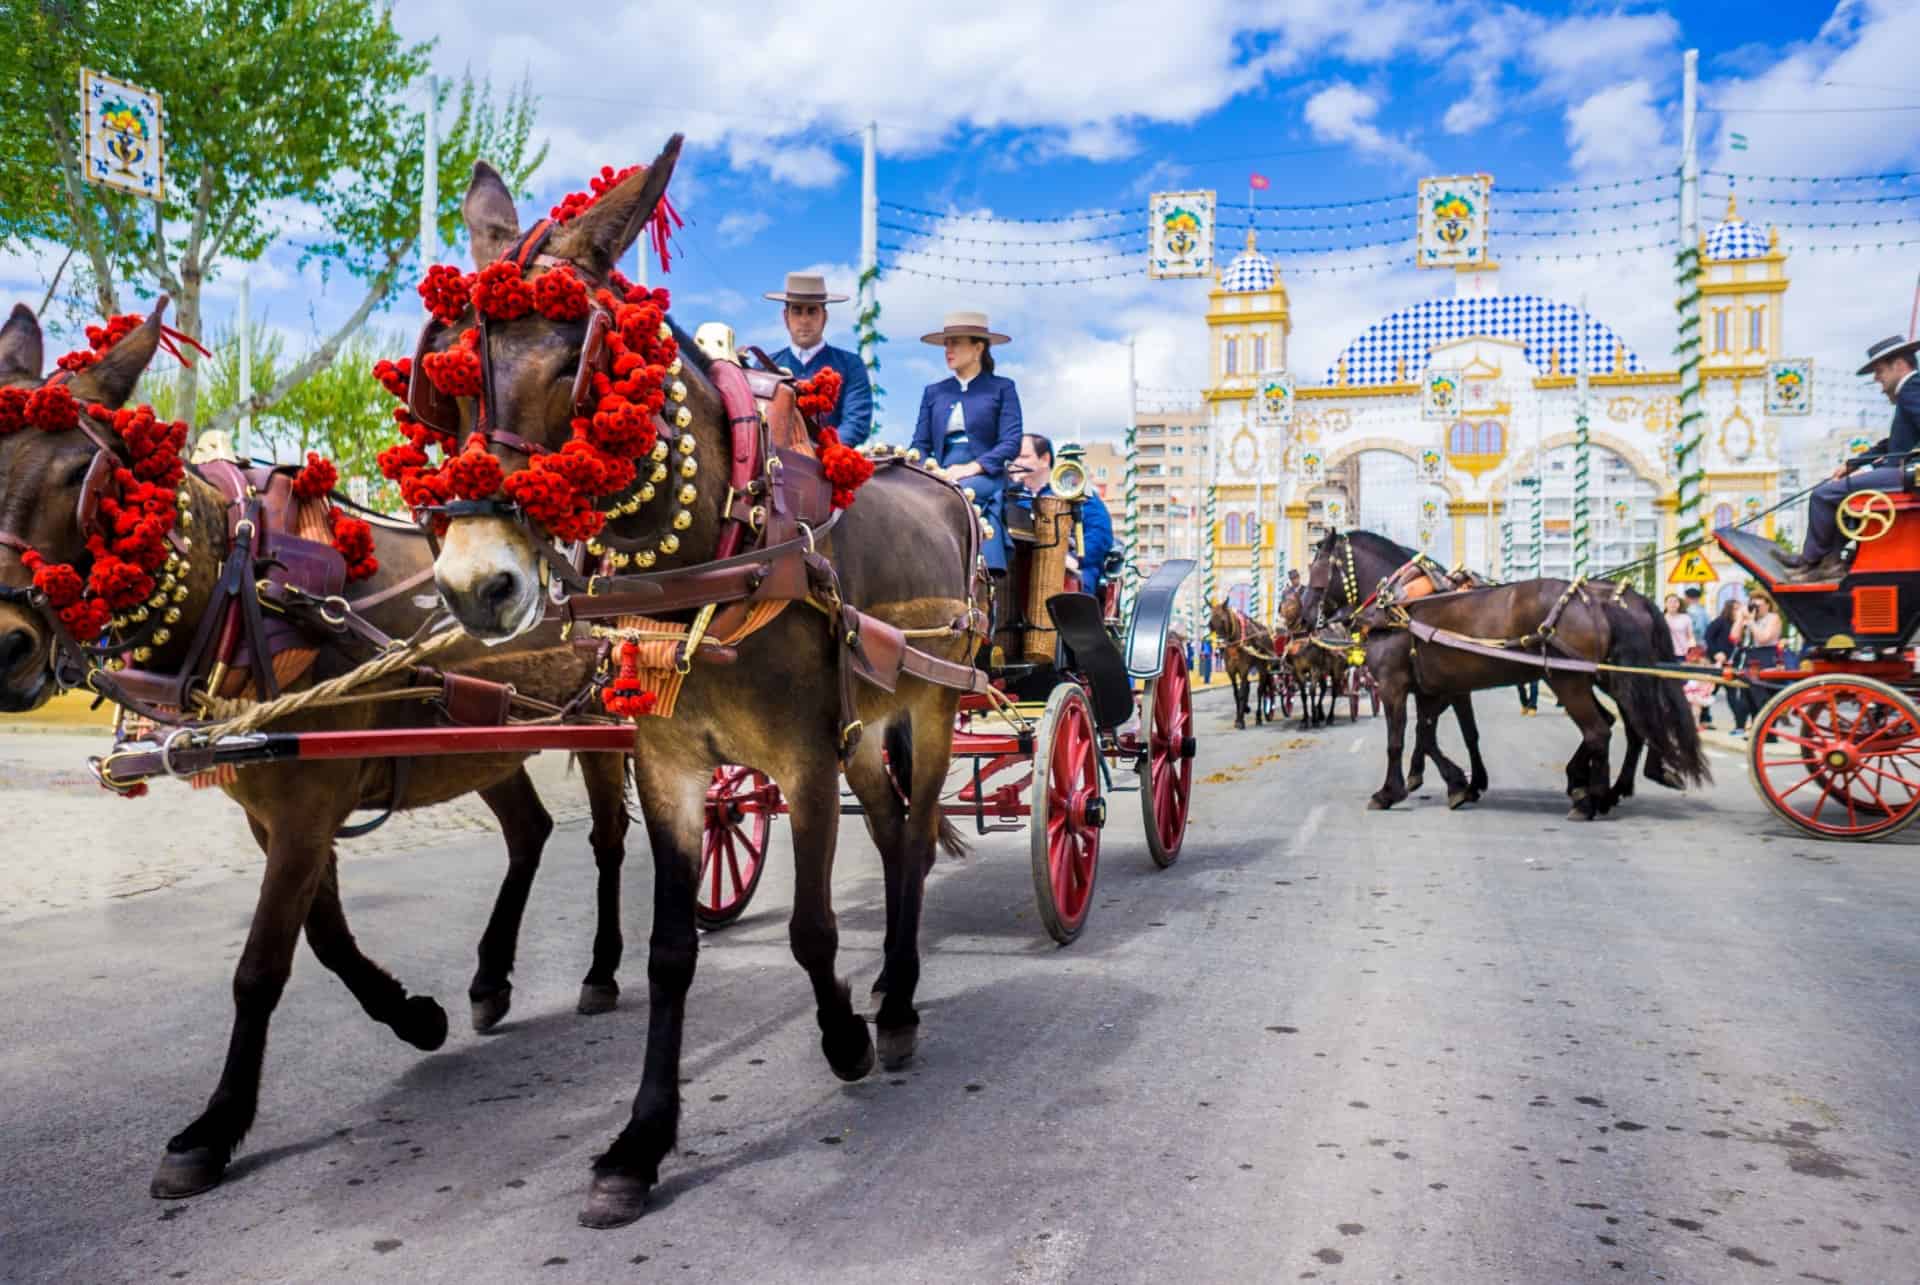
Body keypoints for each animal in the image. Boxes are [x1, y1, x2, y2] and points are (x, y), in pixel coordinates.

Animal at [0, 301, 637, 1190]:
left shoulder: (305, 807)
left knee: (607, 841)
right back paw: (488, 978)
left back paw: (603, 968)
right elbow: (327, 937)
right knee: (530, 831)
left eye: (73, 476)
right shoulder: (279, 806)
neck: (242, 589)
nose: (5, 645)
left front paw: (214, 1126)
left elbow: (262, 965)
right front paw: (414, 1015)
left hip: (604, 718)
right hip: (480, 735)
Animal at [428, 138, 983, 1221]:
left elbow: (811, 929)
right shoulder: (673, 764)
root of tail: (941, 483)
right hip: (867, 727)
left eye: (575, 364)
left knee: (910, 842)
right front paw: (640, 1141)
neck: (713, 550)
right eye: (457, 373)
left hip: (932, 703)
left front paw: (844, 1036)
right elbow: (672, 950)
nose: (479, 583)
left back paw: (895, 1004)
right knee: (893, 827)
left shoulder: (804, 760)